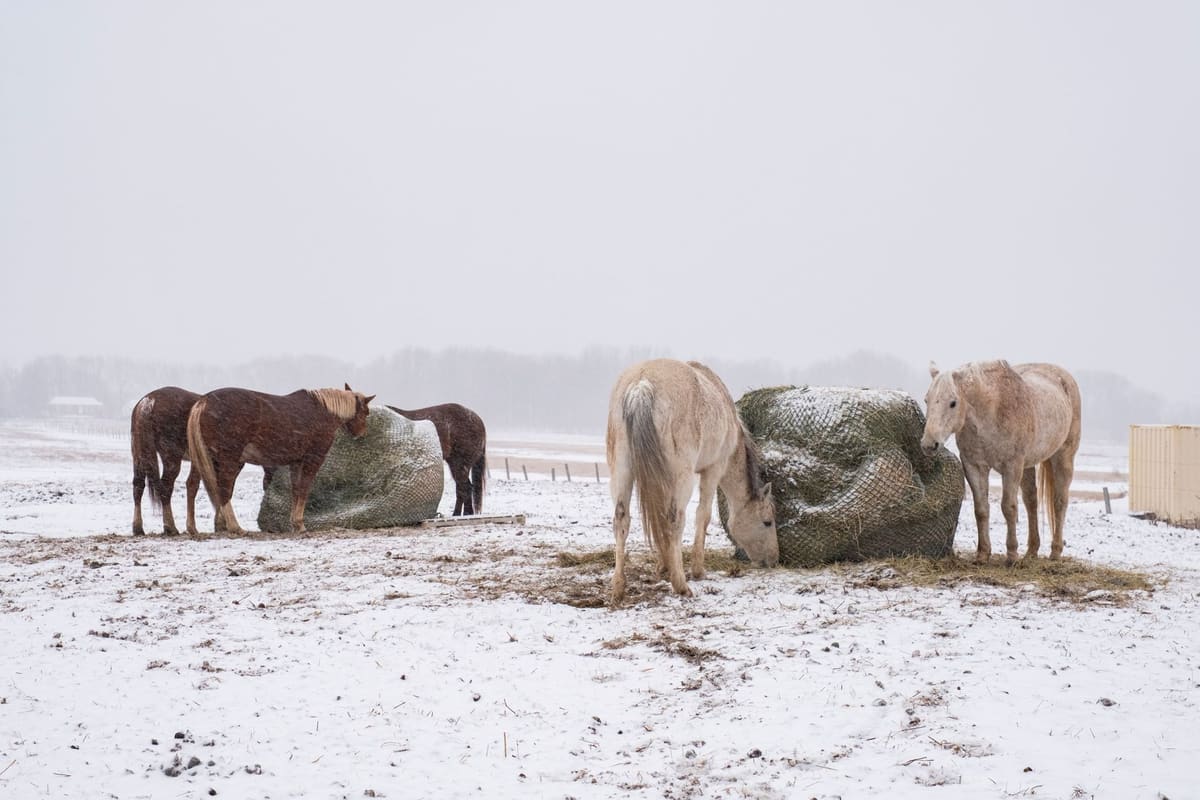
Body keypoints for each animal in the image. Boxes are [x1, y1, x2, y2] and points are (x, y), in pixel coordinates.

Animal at [130, 386, 203, 535]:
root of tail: (148, 402)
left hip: (139, 456)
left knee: (138, 486)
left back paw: (138, 528)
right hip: (171, 458)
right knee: (165, 488)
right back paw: (170, 527)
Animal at [186, 384, 374, 534]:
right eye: (365, 412)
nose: (361, 434)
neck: (322, 411)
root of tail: (205, 401)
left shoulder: (296, 463)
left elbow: (296, 490)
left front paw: (295, 524)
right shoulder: (313, 459)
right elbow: (304, 489)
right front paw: (300, 524)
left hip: (210, 460)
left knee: (203, 486)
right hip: (229, 460)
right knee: (224, 488)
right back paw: (234, 527)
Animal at [606, 359, 777, 605]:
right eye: (767, 522)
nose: (773, 560)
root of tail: (641, 385)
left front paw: (663, 565)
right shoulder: (713, 470)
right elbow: (703, 516)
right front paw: (697, 570)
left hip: (622, 471)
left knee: (622, 520)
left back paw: (619, 588)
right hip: (683, 478)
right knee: (675, 519)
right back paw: (681, 585)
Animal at [921, 360, 1081, 565]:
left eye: (953, 403)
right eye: (927, 400)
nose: (928, 444)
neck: (992, 412)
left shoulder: (1012, 467)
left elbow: (1009, 507)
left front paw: (1011, 555)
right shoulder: (974, 466)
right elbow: (981, 509)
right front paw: (982, 554)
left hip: (1063, 457)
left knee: (1059, 501)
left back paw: (1055, 552)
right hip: (1028, 466)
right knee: (1031, 501)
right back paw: (1031, 551)